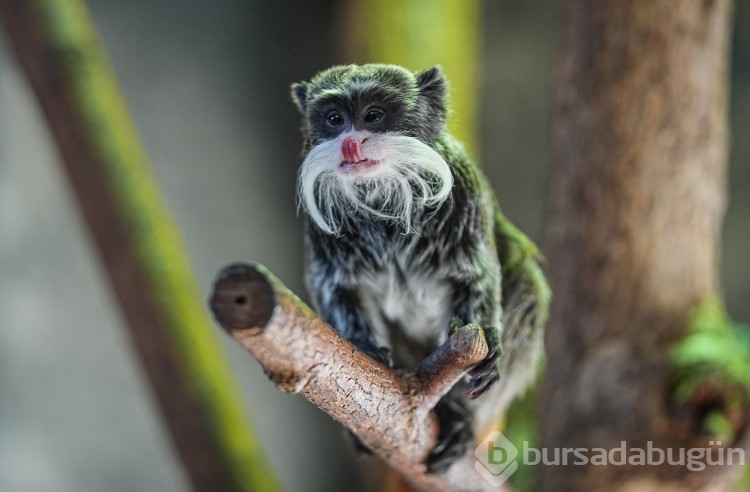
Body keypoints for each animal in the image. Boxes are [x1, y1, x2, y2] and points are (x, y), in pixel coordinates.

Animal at [290, 63, 548, 470]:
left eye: (373, 116)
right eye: (334, 119)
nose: (350, 143)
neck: (383, 194)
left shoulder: (465, 194)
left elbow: (477, 276)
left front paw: (489, 341)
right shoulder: (322, 235)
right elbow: (338, 289)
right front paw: (365, 345)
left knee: (528, 287)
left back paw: (459, 418)